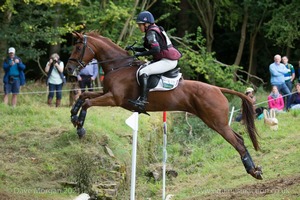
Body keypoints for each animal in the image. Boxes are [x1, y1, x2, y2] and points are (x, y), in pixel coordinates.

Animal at [66, 30, 262, 180]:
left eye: (78, 48)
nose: (68, 69)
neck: (118, 66)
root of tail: (217, 89)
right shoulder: (106, 93)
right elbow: (84, 96)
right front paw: (74, 116)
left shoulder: (114, 99)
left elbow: (88, 103)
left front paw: (80, 128)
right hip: (215, 121)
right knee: (239, 139)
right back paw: (254, 169)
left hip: (216, 122)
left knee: (237, 142)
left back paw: (254, 171)